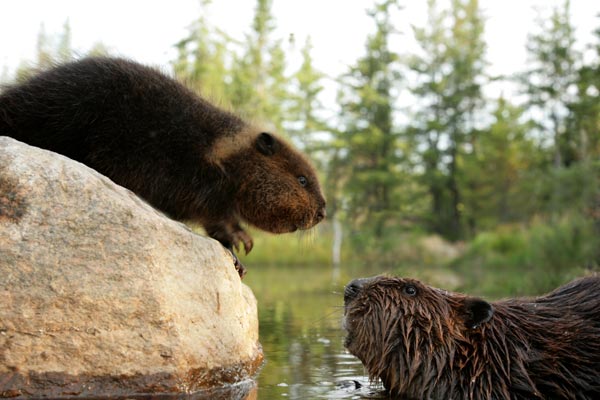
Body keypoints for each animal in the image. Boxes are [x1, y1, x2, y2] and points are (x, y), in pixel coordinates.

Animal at [0, 56, 326, 276]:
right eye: (302, 180)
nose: (322, 212)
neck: (223, 148)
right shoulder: (202, 180)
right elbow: (216, 218)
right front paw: (241, 243)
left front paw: (241, 257)